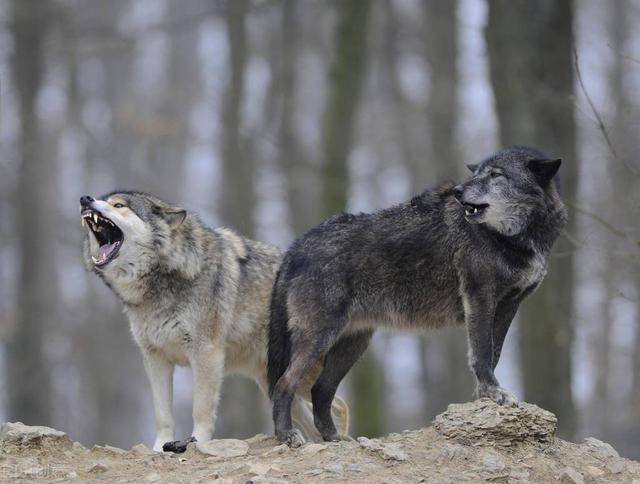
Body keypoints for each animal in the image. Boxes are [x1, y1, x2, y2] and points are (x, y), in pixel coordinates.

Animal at [80, 191, 350, 452]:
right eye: (105, 200)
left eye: (119, 205)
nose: (85, 199)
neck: (162, 278)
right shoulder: (155, 358)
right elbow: (162, 415)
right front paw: (158, 449)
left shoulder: (205, 352)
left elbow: (200, 408)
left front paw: (197, 442)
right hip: (273, 383)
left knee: (340, 405)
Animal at [268, 147, 568, 446]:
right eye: (478, 173)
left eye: (496, 174)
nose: (458, 191)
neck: (511, 238)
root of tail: (296, 246)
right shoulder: (480, 299)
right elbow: (482, 355)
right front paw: (494, 394)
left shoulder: (508, 307)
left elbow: (493, 355)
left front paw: (484, 397)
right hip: (319, 338)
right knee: (284, 383)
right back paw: (286, 435)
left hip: (352, 345)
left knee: (321, 390)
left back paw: (334, 438)